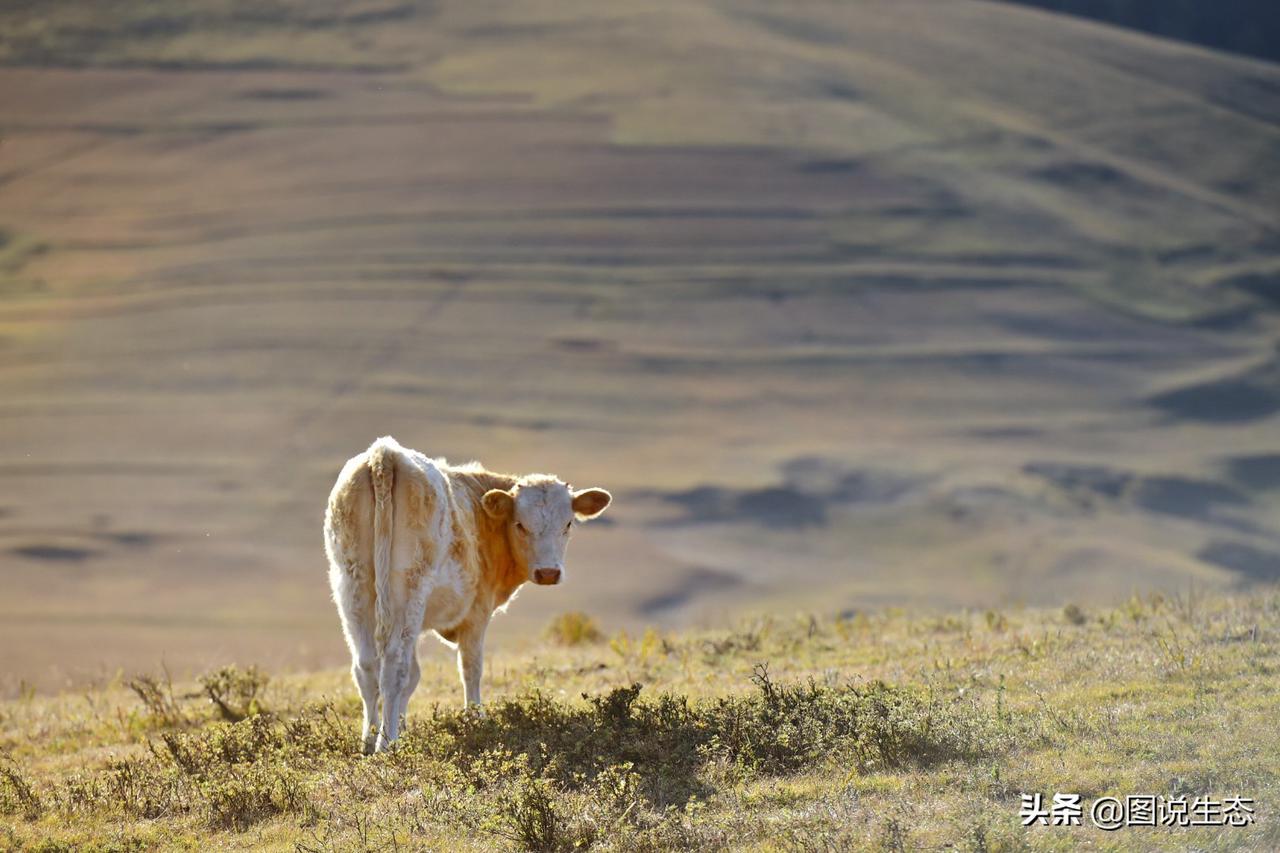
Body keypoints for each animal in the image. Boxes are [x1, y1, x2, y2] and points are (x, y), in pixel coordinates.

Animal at [327, 438, 611, 753]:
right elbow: (470, 667)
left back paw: (369, 741)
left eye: (568, 524)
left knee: (366, 666)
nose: (548, 573)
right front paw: (475, 720)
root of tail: (385, 453)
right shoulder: (477, 610)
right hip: (407, 586)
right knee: (393, 667)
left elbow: (414, 676)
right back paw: (386, 744)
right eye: (520, 524)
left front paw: (405, 728)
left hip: (352, 584)